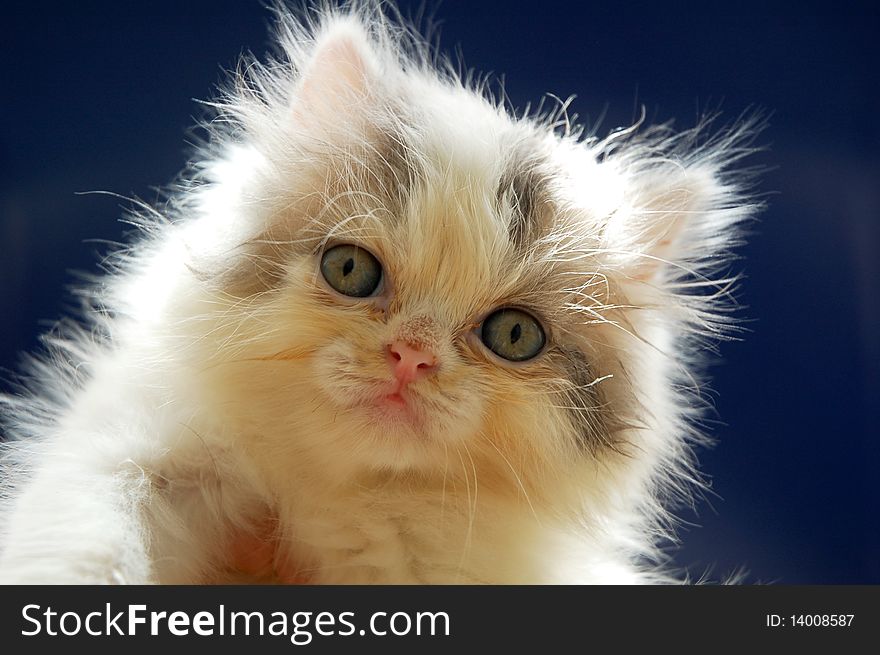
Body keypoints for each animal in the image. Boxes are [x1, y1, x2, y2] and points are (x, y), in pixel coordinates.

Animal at [0, 0, 756, 584]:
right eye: (350, 272)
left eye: (514, 335)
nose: (410, 357)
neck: (333, 495)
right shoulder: (123, 456)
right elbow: (85, 549)